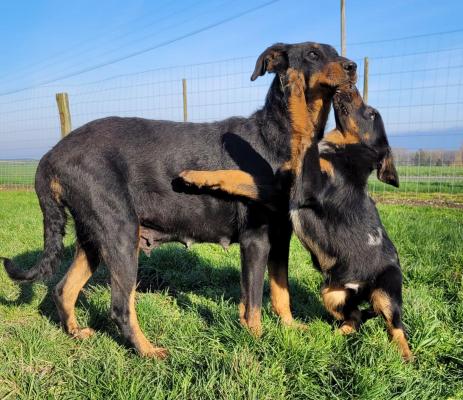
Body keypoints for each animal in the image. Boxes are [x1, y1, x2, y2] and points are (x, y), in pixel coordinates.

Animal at [0, 42, 358, 358]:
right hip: (121, 233)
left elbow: (280, 291)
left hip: (94, 238)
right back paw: (147, 352)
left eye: (334, 50)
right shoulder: (255, 240)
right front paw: (257, 341)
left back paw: (76, 333)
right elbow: (254, 301)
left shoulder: (280, 238)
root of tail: (50, 157)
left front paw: (289, 328)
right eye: (312, 53)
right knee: (120, 307)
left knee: (63, 289)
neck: (282, 134)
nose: (353, 67)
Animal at [181, 70, 414, 360]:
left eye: (371, 114)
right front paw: (196, 176)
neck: (343, 153)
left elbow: (304, 131)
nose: (350, 85)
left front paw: (293, 84)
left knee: (396, 326)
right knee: (357, 318)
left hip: (386, 290)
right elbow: (235, 175)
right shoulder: (281, 189)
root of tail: (361, 288)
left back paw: (405, 356)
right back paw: (335, 335)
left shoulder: (306, 185)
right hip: (332, 294)